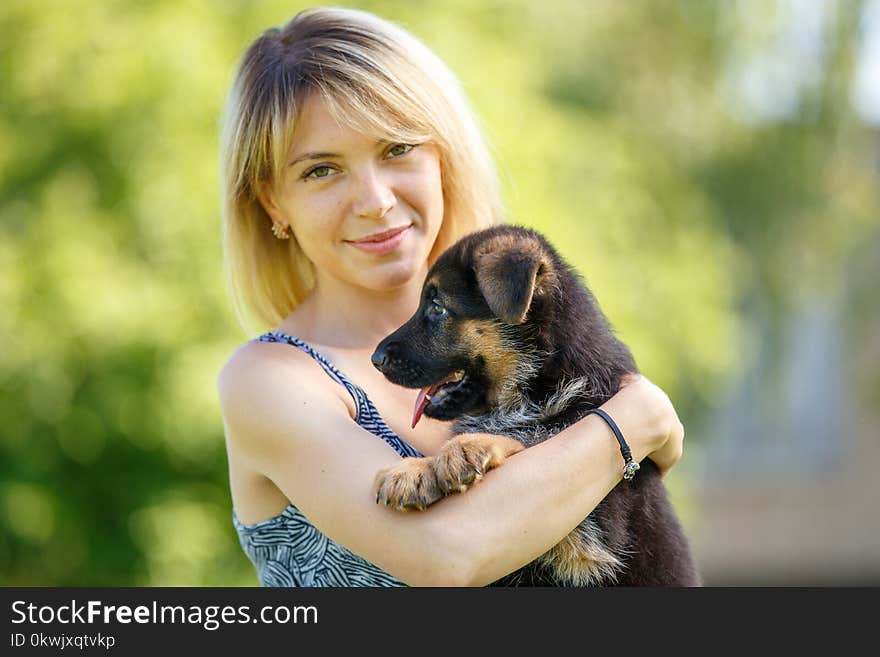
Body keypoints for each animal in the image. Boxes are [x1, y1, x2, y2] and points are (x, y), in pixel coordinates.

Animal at [372, 224, 700, 584]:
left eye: (437, 307)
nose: (376, 358)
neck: (542, 380)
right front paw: (414, 470)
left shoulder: (590, 533)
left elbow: (534, 435)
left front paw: (460, 450)